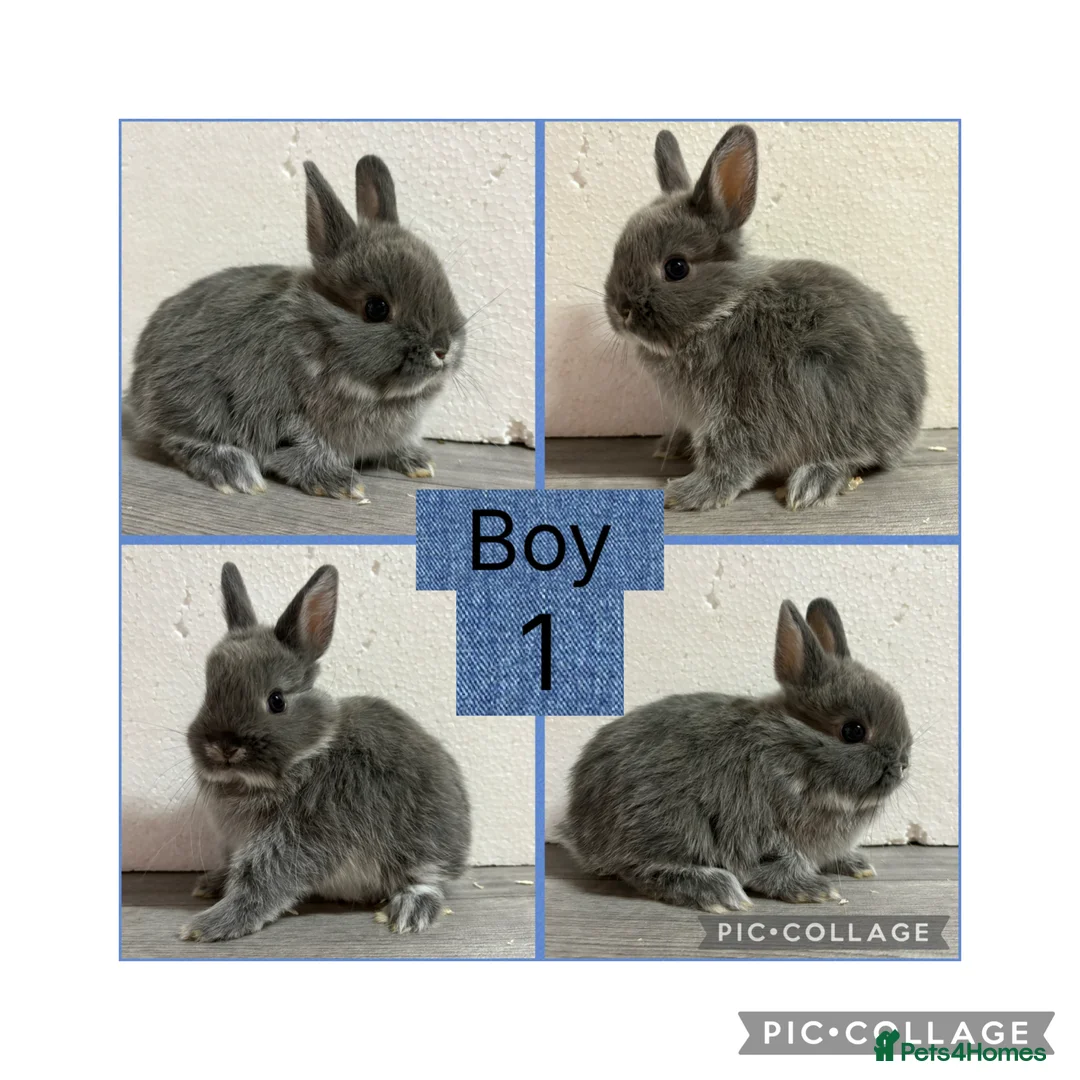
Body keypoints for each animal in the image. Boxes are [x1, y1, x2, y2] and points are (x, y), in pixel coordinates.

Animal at [129, 155, 466, 499]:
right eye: (376, 308)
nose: (443, 349)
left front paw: (418, 462)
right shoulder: (284, 421)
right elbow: (300, 452)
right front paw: (341, 483)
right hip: (193, 403)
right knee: (175, 439)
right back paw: (233, 471)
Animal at [180, 561, 471, 941]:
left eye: (277, 700)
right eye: (207, 692)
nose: (223, 747)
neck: (308, 754)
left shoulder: (307, 834)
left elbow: (262, 880)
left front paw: (207, 925)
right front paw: (212, 888)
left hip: (423, 843)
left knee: (428, 878)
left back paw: (409, 910)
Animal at [562, 598, 911, 910]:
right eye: (853, 731)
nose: (902, 765)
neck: (791, 753)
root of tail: (578, 824)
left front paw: (857, 864)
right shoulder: (760, 831)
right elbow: (776, 865)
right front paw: (814, 889)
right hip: (668, 823)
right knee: (641, 868)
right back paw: (717, 892)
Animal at [604, 124, 928, 511]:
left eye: (676, 267)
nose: (620, 311)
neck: (721, 313)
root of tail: (914, 414)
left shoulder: (745, 409)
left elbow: (730, 458)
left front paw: (687, 494)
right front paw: (671, 447)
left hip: (838, 404)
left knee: (851, 454)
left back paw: (812, 483)